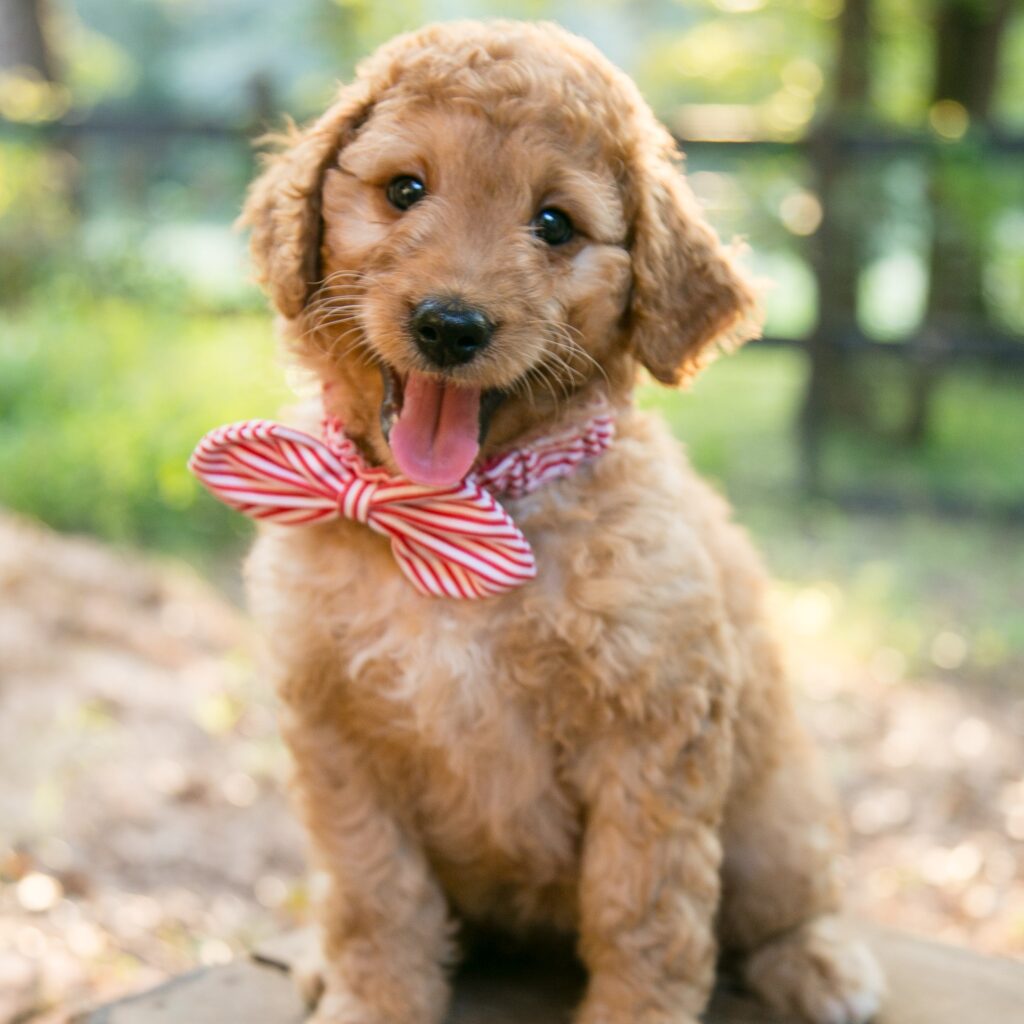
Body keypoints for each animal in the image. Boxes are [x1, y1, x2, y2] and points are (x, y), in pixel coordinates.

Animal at [195, 16, 884, 1024]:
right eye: (405, 190)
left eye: (554, 224)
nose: (450, 325)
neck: (451, 512)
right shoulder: (338, 731)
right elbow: (374, 893)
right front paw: (371, 994)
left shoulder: (651, 729)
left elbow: (644, 909)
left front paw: (637, 1014)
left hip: (775, 818)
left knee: (792, 897)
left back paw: (821, 964)